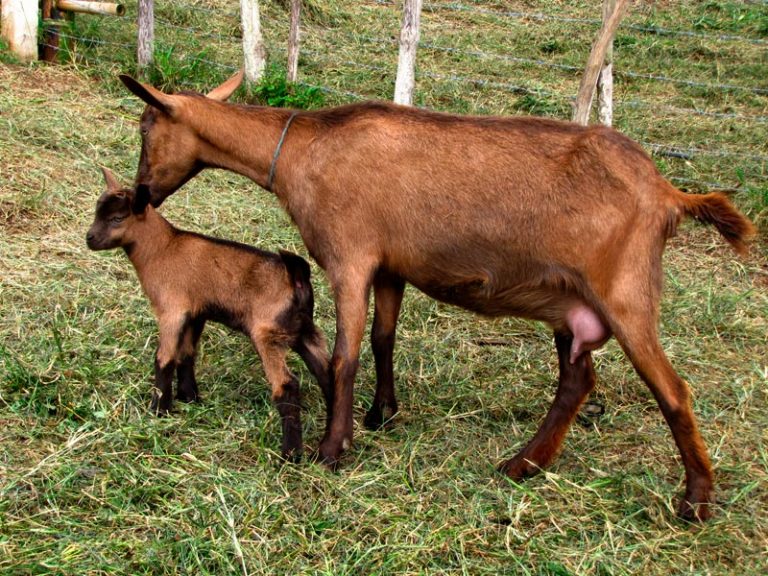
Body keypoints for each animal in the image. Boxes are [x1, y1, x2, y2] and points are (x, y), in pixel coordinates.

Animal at [86, 166, 330, 460]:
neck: (162, 249)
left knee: (287, 386)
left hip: (267, 334)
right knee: (329, 373)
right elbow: (186, 354)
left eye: (117, 218)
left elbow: (164, 358)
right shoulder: (195, 313)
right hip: (304, 332)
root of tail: (298, 279)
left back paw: (290, 455)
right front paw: (189, 397)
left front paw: (159, 409)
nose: (89, 238)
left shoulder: (171, 310)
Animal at [121, 70, 756, 520]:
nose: (140, 193)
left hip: (624, 291)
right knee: (577, 379)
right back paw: (522, 465)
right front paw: (383, 414)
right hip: (572, 306)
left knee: (673, 390)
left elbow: (347, 355)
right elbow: (383, 339)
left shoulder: (350, 258)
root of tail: (669, 193)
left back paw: (695, 502)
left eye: (146, 130)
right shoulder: (389, 266)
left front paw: (332, 449)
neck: (307, 149)